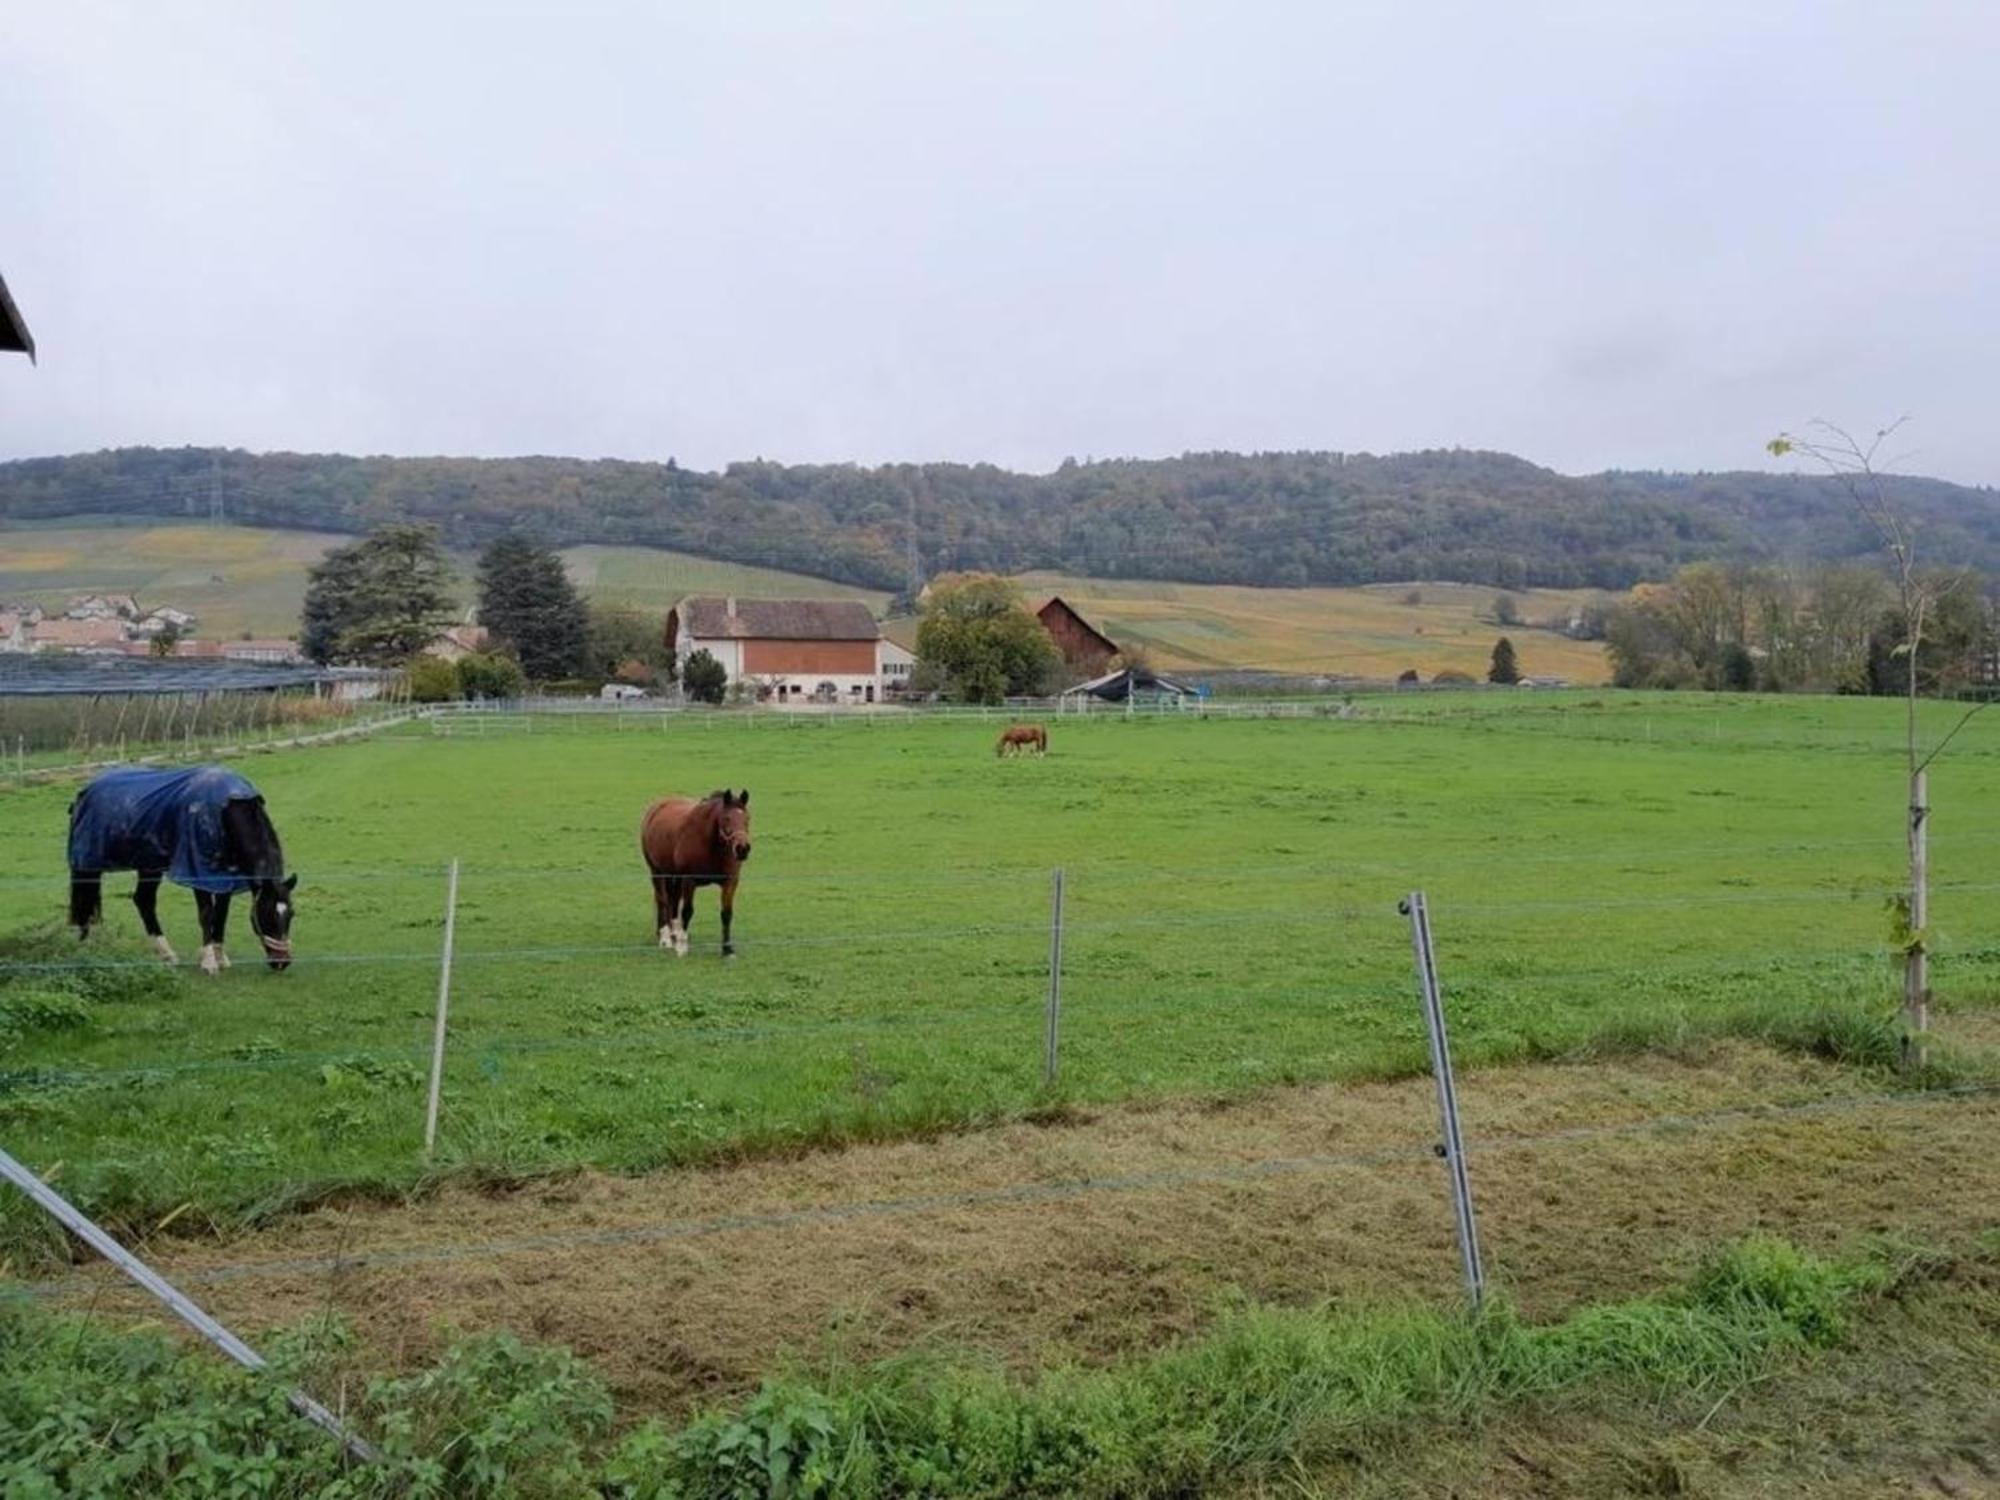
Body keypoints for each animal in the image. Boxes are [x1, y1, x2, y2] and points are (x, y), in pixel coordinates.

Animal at [68, 768, 296, 980]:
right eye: (266, 913)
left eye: (291, 914)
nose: (282, 963)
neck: (227, 808)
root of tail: (84, 792)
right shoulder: (198, 872)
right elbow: (206, 914)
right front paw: (209, 962)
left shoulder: (224, 876)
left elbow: (221, 914)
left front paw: (220, 957)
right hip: (87, 865)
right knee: (85, 901)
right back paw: (86, 948)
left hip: (149, 865)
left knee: (143, 900)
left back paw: (166, 954)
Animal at [640, 792, 752, 956]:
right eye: (726, 818)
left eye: (747, 818)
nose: (742, 849)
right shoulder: (689, 880)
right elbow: (687, 911)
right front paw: (681, 948)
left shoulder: (730, 882)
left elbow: (726, 914)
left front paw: (727, 949)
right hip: (657, 871)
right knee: (662, 900)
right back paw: (666, 938)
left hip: (674, 876)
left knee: (673, 899)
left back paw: (675, 933)